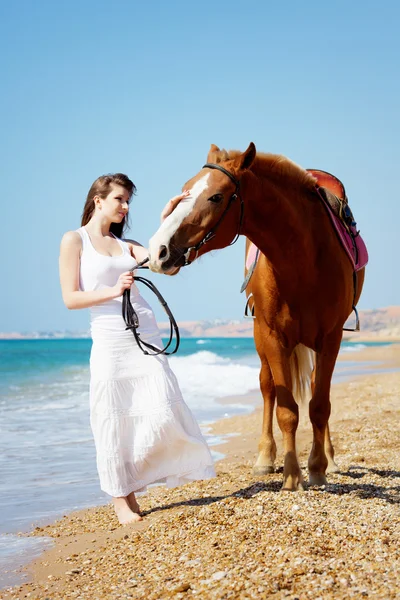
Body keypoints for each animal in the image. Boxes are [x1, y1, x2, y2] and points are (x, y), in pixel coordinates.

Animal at [148, 143, 366, 490]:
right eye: (184, 190)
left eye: (216, 197)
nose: (158, 250)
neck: (303, 260)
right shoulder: (273, 336)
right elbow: (286, 409)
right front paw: (292, 475)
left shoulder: (331, 338)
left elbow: (320, 405)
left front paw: (317, 468)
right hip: (262, 338)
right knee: (267, 388)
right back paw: (265, 458)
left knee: (316, 388)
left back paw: (328, 459)